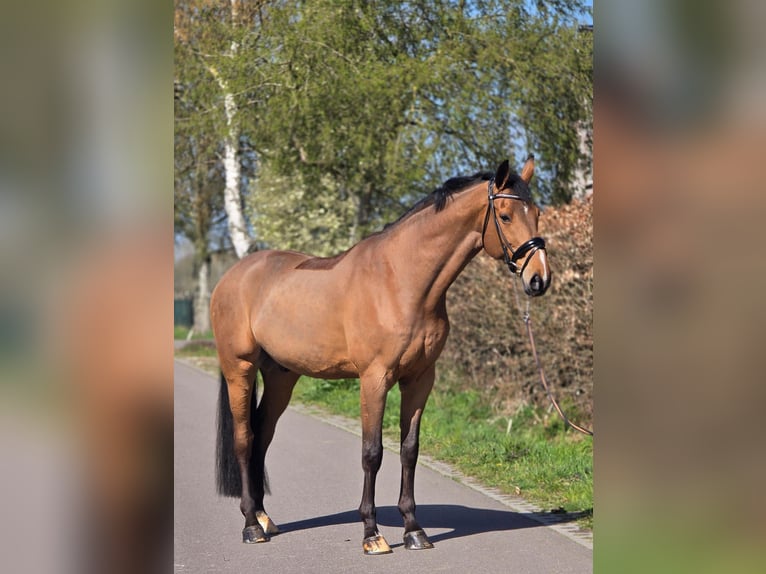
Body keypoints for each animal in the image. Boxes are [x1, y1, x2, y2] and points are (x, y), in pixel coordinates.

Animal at [210, 156, 551, 555]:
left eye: (538, 213)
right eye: (506, 215)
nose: (539, 279)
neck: (401, 281)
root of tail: (232, 277)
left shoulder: (420, 379)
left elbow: (409, 450)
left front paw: (414, 530)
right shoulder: (374, 379)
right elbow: (371, 453)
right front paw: (372, 534)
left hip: (281, 376)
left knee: (262, 435)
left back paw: (265, 518)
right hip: (240, 368)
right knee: (244, 439)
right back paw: (251, 525)